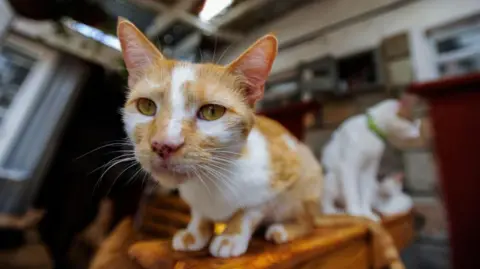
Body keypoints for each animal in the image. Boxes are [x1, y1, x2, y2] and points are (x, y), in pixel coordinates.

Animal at [112, 17, 404, 266]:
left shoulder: (279, 174)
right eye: (146, 106)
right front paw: (196, 231)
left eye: (212, 112)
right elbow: (199, 213)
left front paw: (231, 235)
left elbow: (251, 209)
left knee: (308, 221)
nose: (164, 144)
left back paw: (285, 229)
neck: (210, 181)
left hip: (309, 177)